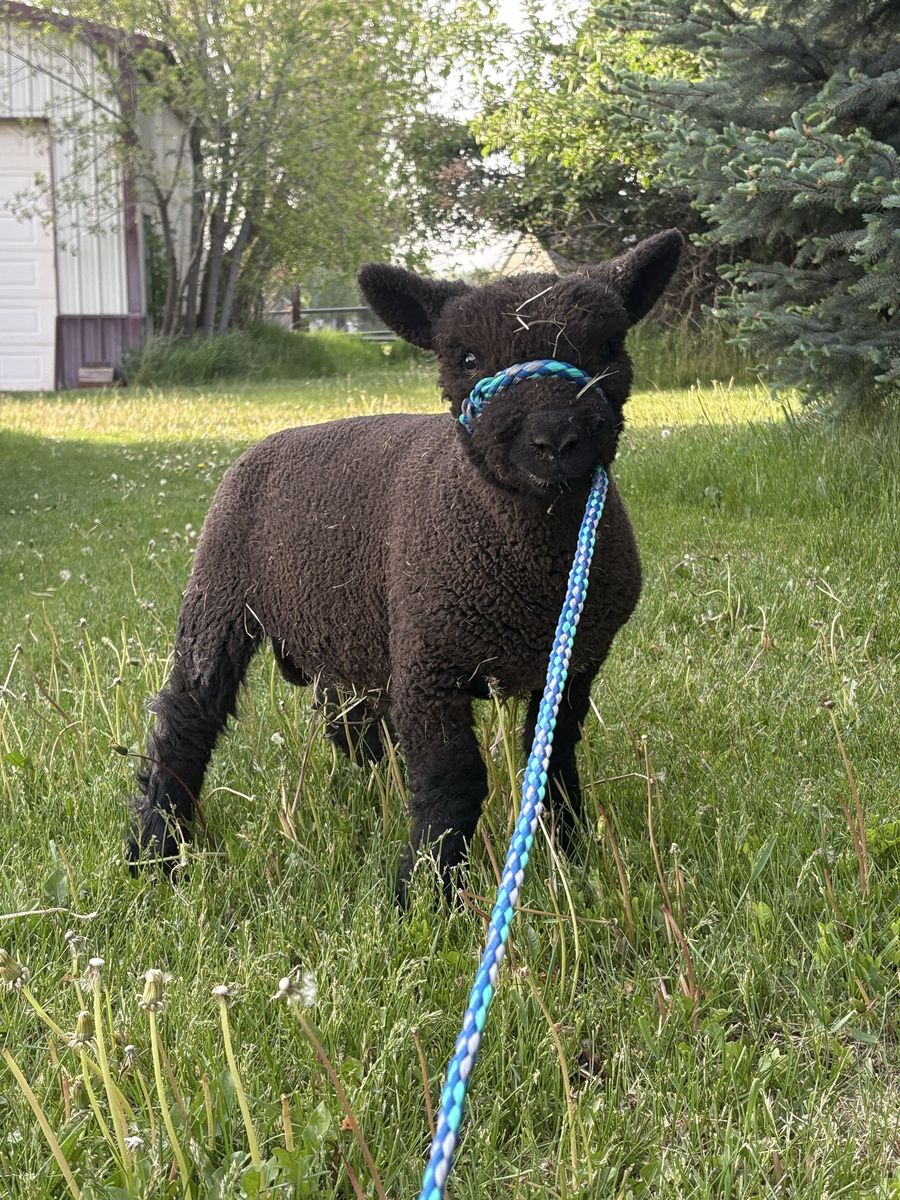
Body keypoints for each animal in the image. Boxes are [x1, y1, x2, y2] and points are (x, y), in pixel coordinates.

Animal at [129, 228, 683, 902]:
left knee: (347, 718)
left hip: (349, 628)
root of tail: (271, 438)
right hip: (219, 595)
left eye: (608, 348)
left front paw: (567, 853)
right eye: (467, 359)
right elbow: (454, 777)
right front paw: (426, 891)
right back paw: (155, 852)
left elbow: (552, 758)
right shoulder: (427, 665)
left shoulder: (575, 663)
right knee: (187, 719)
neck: (531, 568)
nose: (555, 439)